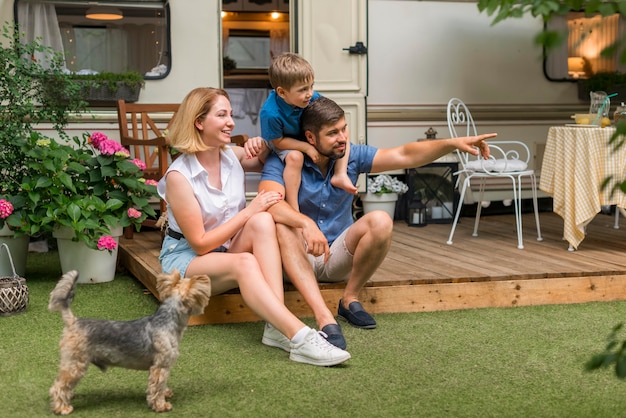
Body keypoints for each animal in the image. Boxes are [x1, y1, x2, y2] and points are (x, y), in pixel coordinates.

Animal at [47, 270, 212, 414]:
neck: (167, 322)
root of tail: (73, 321)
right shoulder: (160, 366)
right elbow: (157, 387)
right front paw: (161, 405)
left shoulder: (161, 367)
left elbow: (162, 385)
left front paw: (166, 394)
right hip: (75, 363)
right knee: (58, 386)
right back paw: (62, 408)